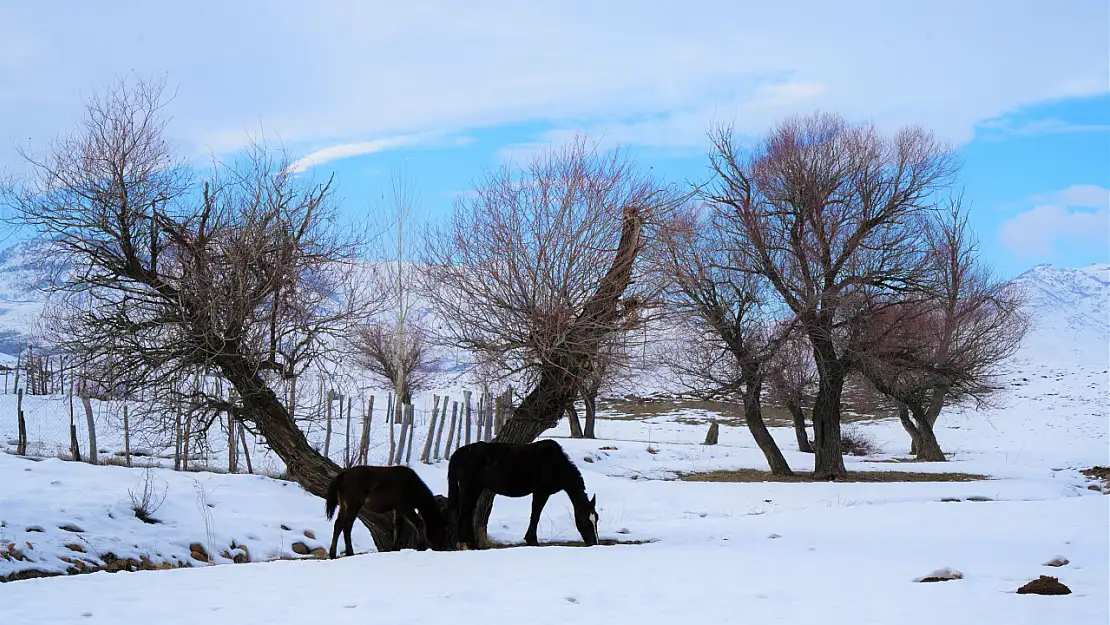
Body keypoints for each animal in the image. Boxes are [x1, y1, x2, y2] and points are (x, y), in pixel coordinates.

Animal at [446, 437, 599, 550]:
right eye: (585, 520)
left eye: (596, 519)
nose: (594, 543)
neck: (556, 464)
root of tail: (455, 455)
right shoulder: (541, 492)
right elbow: (535, 514)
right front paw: (532, 541)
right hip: (469, 487)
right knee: (463, 513)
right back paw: (465, 544)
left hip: (475, 488)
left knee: (467, 512)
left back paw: (472, 544)